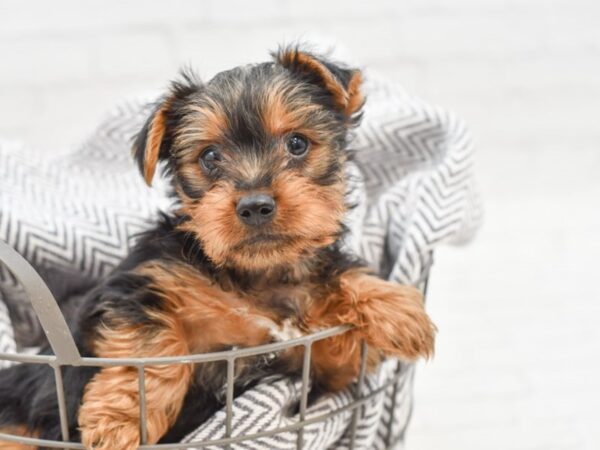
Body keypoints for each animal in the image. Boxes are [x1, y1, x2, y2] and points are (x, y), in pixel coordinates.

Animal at [0, 46, 434, 450]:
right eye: (209, 156)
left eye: (297, 143)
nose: (255, 205)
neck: (257, 277)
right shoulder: (135, 285)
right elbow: (156, 346)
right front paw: (119, 423)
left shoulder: (320, 370)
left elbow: (335, 314)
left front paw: (395, 307)